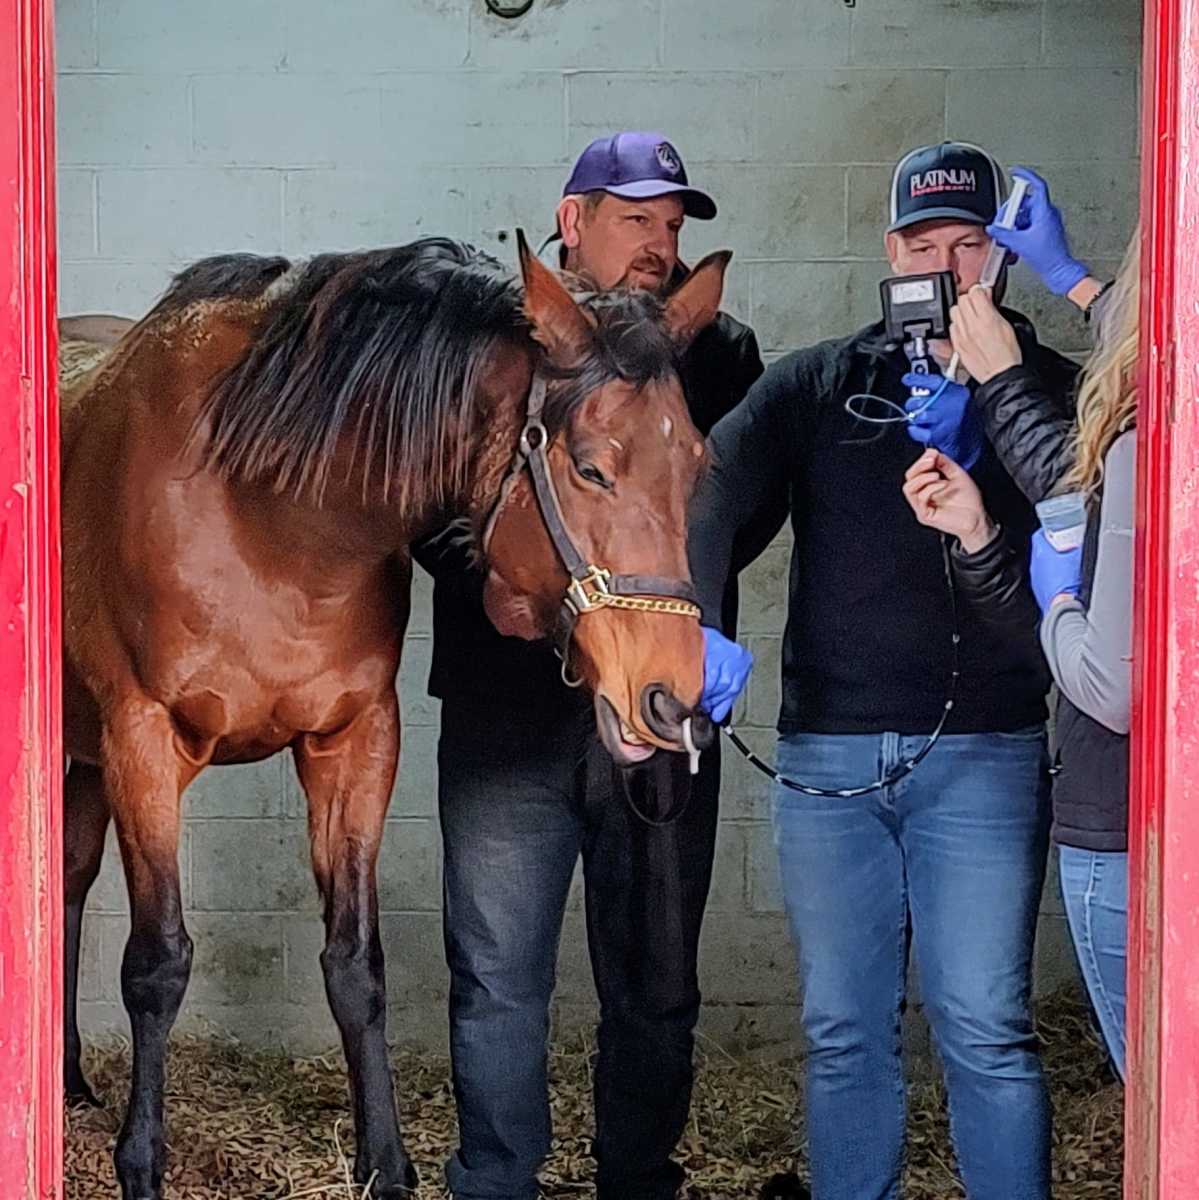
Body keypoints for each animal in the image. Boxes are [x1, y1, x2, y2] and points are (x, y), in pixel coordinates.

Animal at [58, 232, 730, 1199]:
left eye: (698, 465)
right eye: (590, 466)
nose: (670, 697)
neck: (265, 511)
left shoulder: (354, 744)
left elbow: (355, 964)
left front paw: (385, 1161)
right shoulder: (142, 743)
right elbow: (158, 964)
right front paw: (141, 1166)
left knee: (67, 889)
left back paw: (70, 1079)